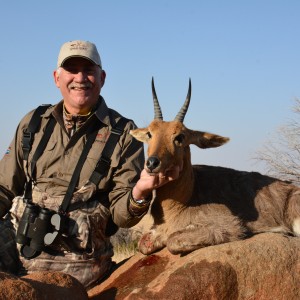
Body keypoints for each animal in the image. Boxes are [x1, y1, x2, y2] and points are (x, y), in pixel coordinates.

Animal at [130, 78, 300, 255]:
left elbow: (173, 240)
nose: (152, 163)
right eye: (150, 133)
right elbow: (144, 244)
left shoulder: (231, 226)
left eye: (180, 137)